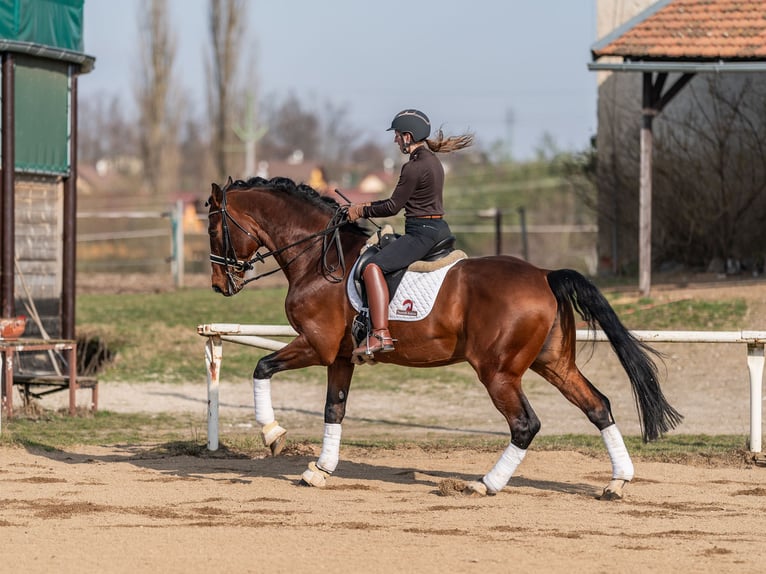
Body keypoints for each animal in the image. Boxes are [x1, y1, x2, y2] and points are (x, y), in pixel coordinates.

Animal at [206, 178, 684, 502]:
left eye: (214, 229)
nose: (218, 286)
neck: (320, 256)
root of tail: (545, 275)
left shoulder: (315, 345)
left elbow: (261, 367)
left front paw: (273, 434)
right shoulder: (340, 357)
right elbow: (333, 410)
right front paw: (320, 470)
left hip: (498, 372)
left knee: (525, 425)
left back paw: (485, 484)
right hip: (553, 363)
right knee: (597, 406)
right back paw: (617, 481)